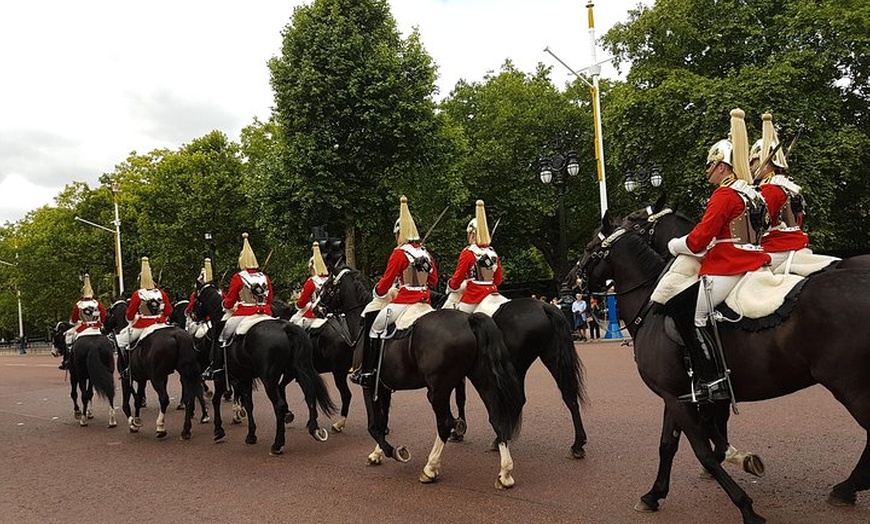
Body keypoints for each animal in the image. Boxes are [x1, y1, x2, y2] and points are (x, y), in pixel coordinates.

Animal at [105, 298, 203, 438]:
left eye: (108, 312)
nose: (103, 328)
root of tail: (177, 336)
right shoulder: (142, 379)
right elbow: (137, 400)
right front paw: (136, 421)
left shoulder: (126, 378)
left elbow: (126, 404)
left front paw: (133, 424)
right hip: (185, 373)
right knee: (188, 398)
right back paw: (186, 430)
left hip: (155, 378)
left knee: (164, 399)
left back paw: (161, 428)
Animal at [189, 282, 336, 454]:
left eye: (196, 299)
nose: (192, 316)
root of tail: (286, 328)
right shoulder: (244, 377)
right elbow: (248, 404)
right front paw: (251, 435)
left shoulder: (221, 375)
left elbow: (216, 400)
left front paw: (218, 430)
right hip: (298, 370)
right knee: (309, 394)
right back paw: (314, 429)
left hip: (269, 379)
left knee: (279, 405)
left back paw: (278, 444)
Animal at [318, 266, 524, 492]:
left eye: (326, 286)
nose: (317, 307)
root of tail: (468, 320)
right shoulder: (383, 387)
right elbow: (383, 421)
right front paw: (377, 453)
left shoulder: (368, 385)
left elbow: (373, 425)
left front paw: (393, 451)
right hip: (480, 379)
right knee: (496, 416)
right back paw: (505, 473)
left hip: (437, 390)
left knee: (444, 424)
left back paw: (430, 468)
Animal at [576, 213, 870, 524]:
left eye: (589, 247)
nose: (569, 282)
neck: (654, 307)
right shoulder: (679, 395)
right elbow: (669, 445)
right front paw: (654, 495)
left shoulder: (679, 397)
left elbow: (702, 450)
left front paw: (746, 505)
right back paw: (848, 487)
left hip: (851, 387)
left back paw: (848, 487)